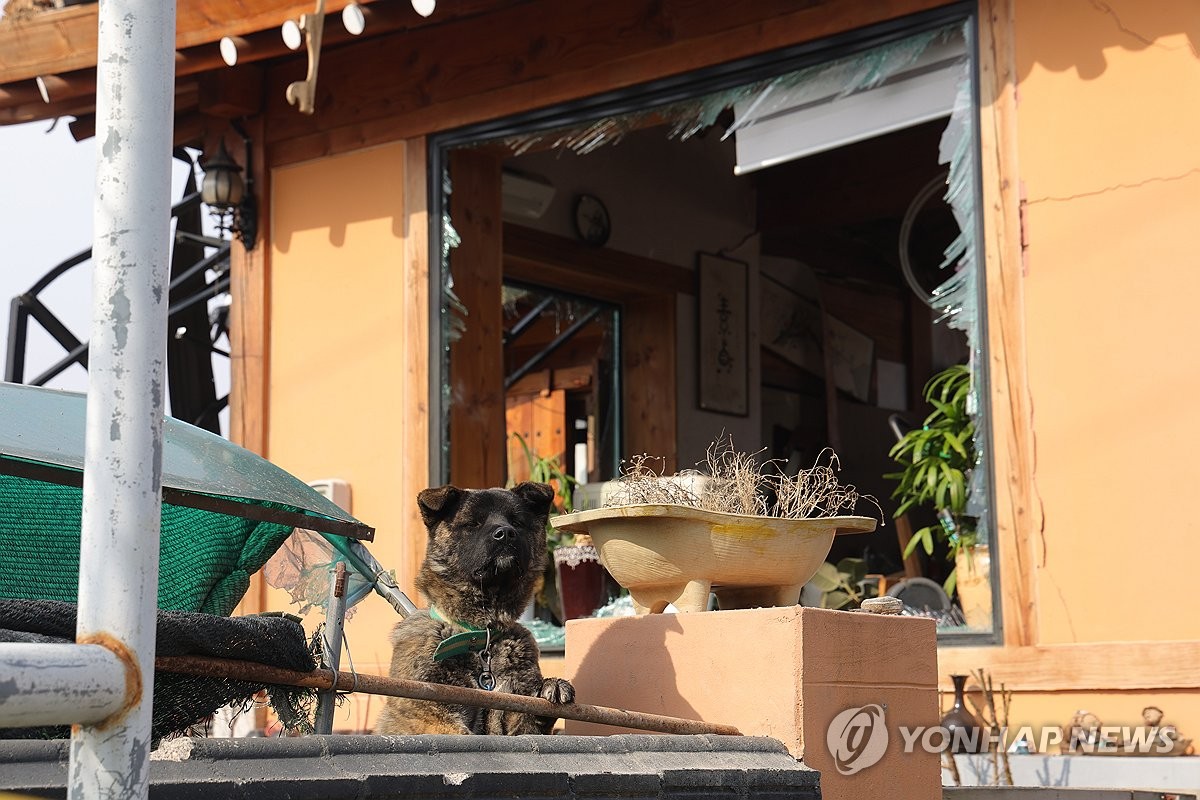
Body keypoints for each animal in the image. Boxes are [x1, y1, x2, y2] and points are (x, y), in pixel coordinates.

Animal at [376, 479, 578, 734]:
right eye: (473, 523)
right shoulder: (425, 708)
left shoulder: (513, 711)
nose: (506, 534)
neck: (482, 636)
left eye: (517, 522)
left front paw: (550, 684)